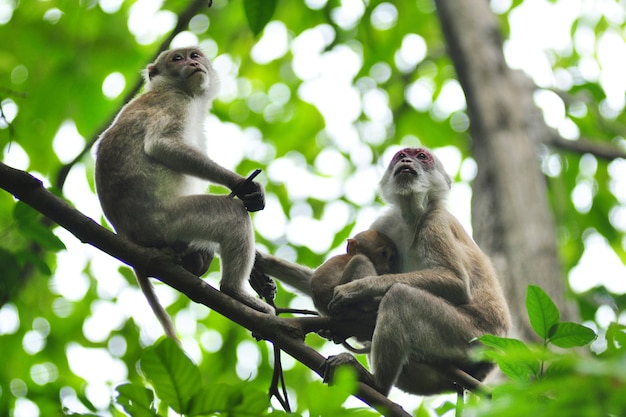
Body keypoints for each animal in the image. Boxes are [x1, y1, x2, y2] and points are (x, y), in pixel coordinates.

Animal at [96, 47, 272, 338]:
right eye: (177, 59)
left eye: (195, 55)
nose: (192, 63)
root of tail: (126, 233)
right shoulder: (174, 103)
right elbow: (162, 145)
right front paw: (240, 184)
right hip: (167, 222)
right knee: (232, 215)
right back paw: (234, 290)